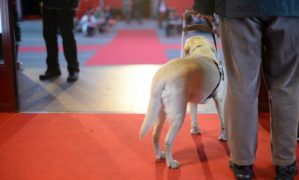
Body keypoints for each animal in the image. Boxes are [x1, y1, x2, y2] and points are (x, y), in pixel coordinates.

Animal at [139, 35, 226, 169]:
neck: (202, 51)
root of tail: (162, 76)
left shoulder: (193, 102)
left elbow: (194, 118)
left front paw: (195, 130)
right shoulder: (219, 99)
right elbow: (223, 121)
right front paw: (223, 137)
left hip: (160, 112)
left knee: (155, 135)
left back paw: (159, 155)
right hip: (178, 115)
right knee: (168, 141)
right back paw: (171, 163)